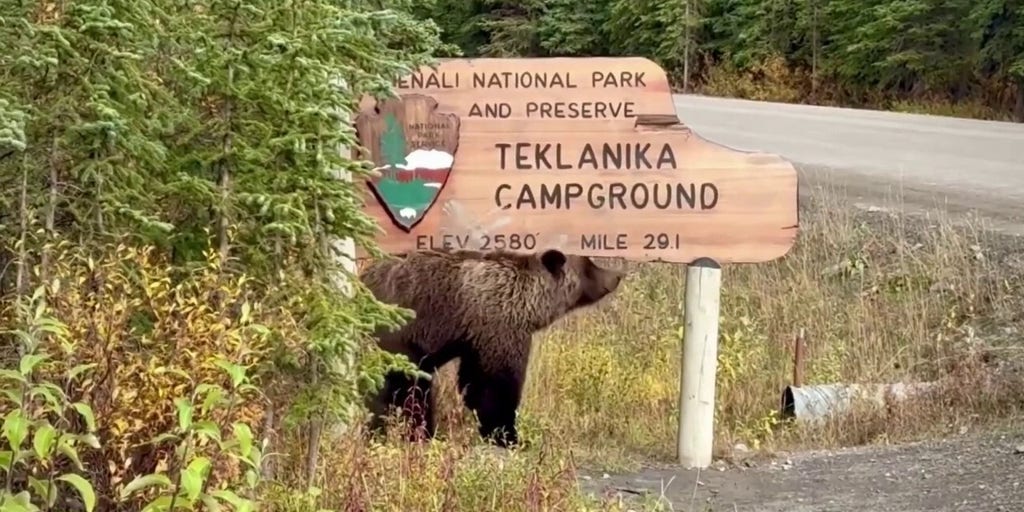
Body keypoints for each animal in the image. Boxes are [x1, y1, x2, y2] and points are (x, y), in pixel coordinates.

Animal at [359, 247, 625, 448]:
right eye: (590, 265)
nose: (617, 275)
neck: (530, 305)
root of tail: (363, 278)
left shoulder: (475, 341)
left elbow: (474, 381)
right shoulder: (499, 329)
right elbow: (495, 386)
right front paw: (508, 435)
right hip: (398, 335)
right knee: (402, 387)